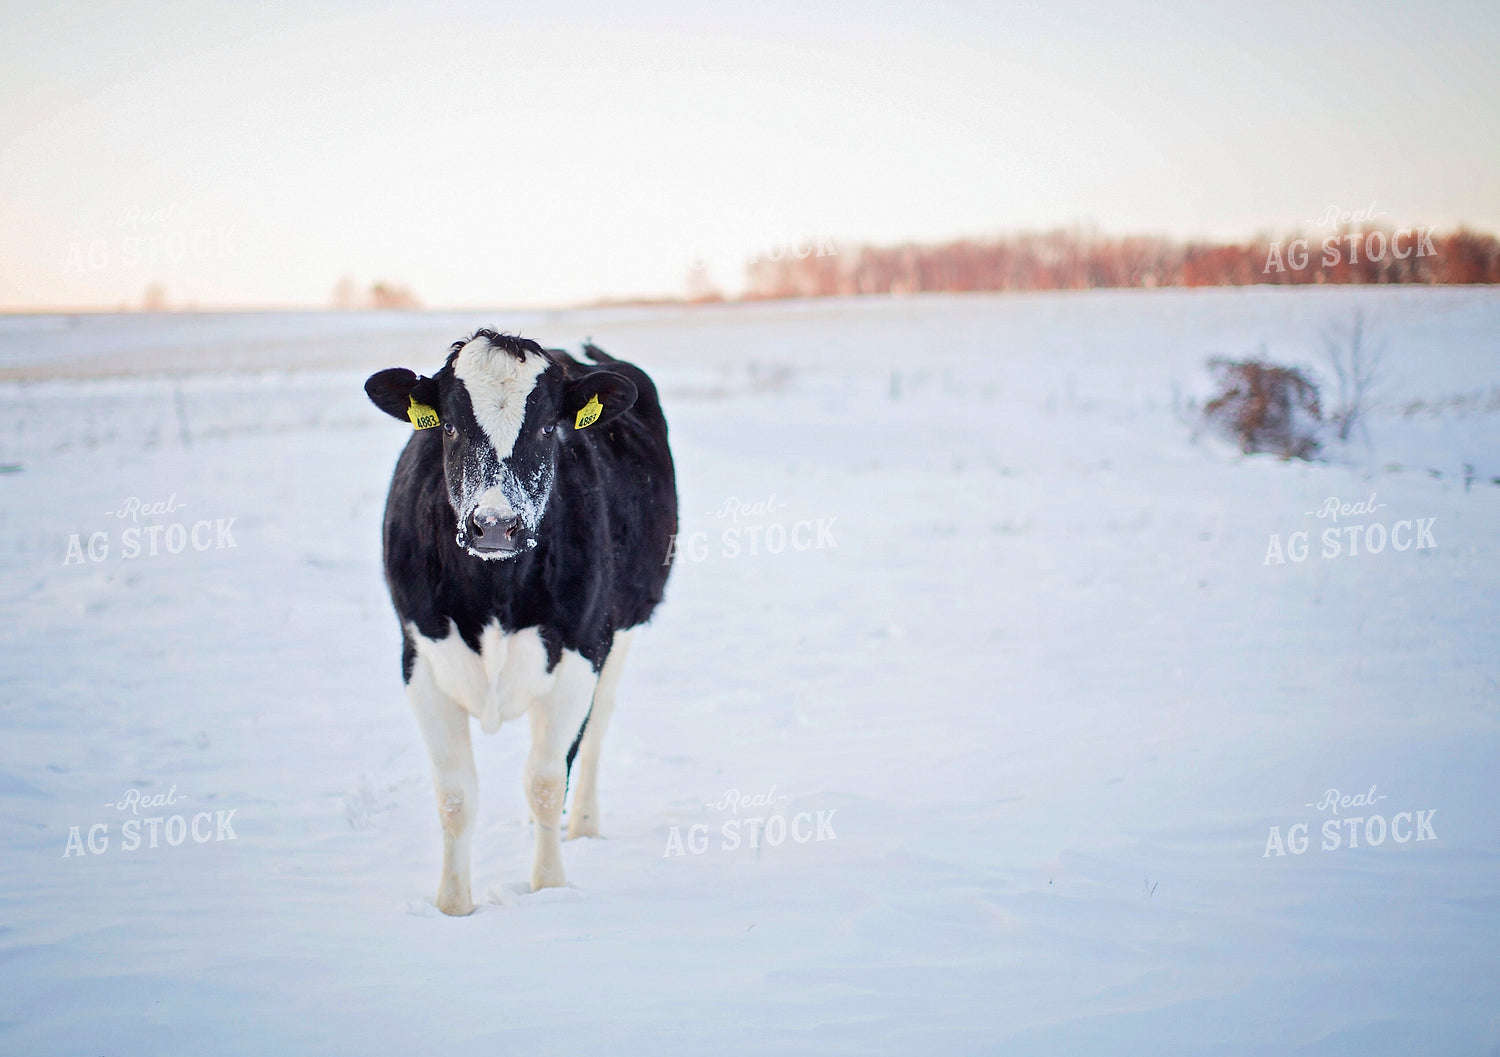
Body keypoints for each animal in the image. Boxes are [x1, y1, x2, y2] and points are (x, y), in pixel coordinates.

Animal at [364, 330, 676, 915]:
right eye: (450, 425)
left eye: (548, 427)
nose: (494, 525)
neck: (495, 594)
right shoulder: (420, 658)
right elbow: (456, 794)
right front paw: (453, 907)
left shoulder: (580, 650)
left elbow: (547, 781)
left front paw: (549, 890)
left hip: (622, 628)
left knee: (595, 726)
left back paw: (582, 825)